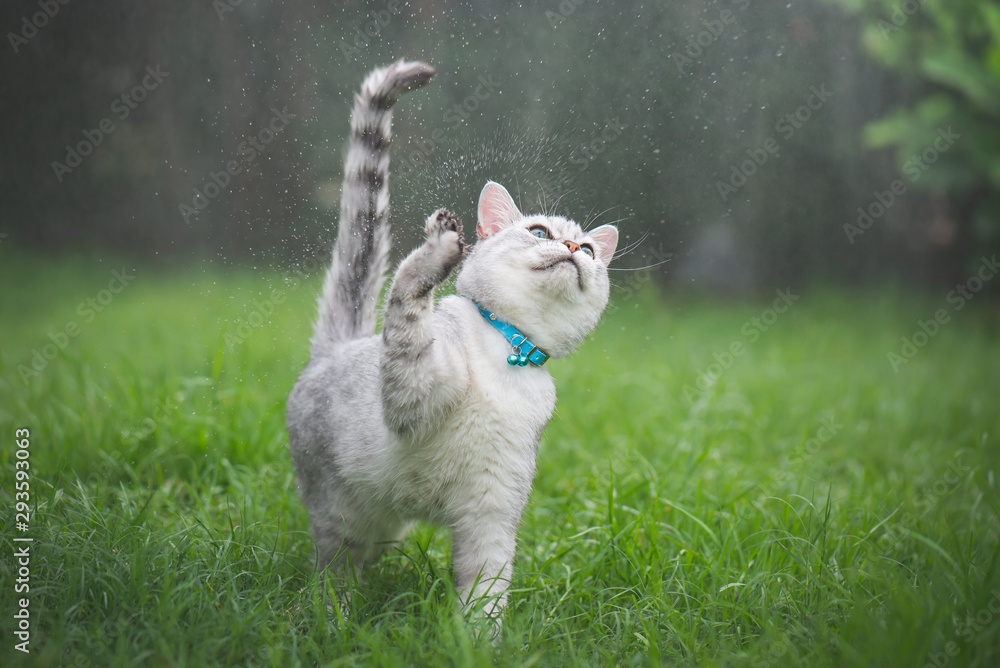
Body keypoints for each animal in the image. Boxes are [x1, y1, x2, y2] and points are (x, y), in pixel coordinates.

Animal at [284, 60, 616, 628]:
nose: (574, 247)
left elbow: (485, 591)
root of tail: (335, 348)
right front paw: (439, 246)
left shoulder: (492, 511)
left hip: (383, 527)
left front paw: (476, 638)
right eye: (540, 231)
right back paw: (335, 621)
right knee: (334, 573)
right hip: (338, 515)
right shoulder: (412, 391)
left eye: (591, 250)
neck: (509, 354)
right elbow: (409, 301)